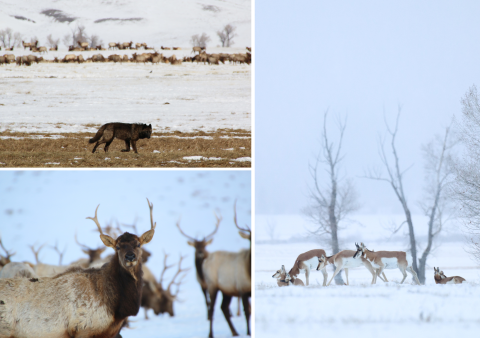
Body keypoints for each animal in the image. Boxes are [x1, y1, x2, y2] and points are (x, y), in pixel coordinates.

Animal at [202, 202, 253, 336]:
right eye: (249, 238)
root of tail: (205, 261)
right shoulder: (242, 289)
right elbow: (247, 311)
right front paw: (248, 332)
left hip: (227, 290)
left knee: (223, 308)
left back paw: (235, 332)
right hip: (212, 285)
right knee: (212, 308)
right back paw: (211, 334)